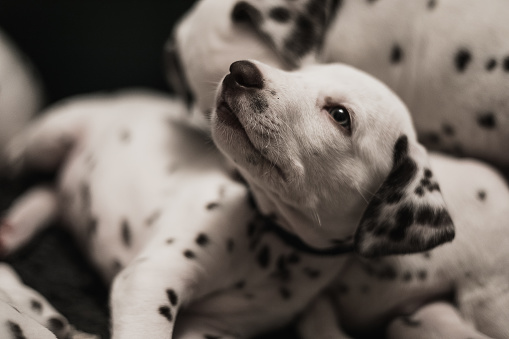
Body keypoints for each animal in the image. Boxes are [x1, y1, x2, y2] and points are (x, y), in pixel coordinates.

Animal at [0, 65, 452, 339]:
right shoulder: (149, 277)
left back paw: (18, 225)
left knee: (51, 191)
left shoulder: (212, 326)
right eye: (299, 71)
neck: (271, 242)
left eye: (340, 115)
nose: (242, 70)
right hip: (48, 137)